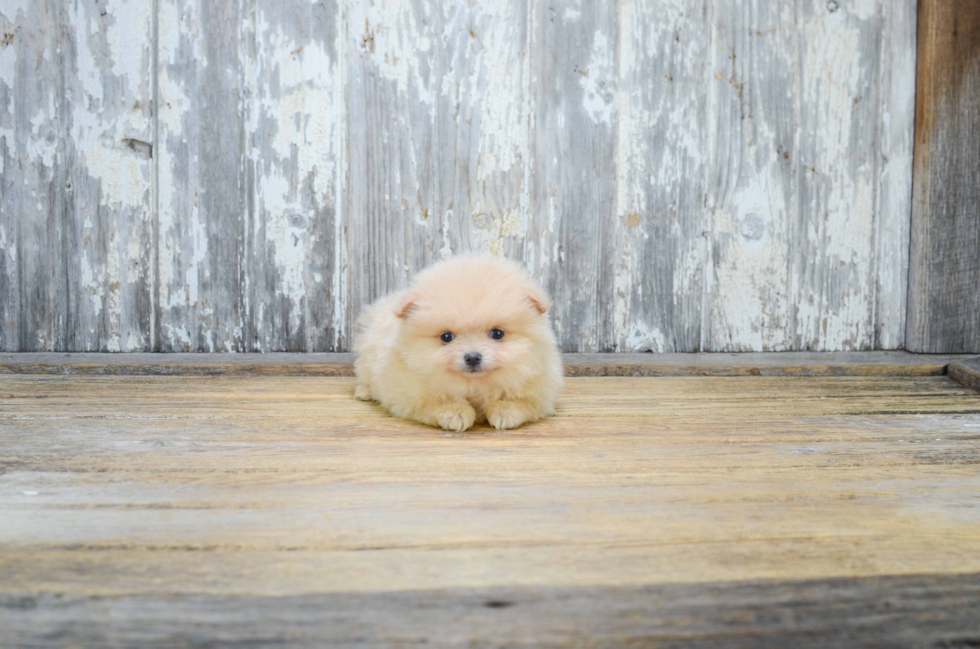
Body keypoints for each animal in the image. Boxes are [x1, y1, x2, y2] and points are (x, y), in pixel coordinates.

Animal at [356, 253, 564, 430]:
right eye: (446, 337)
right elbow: (437, 400)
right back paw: (364, 391)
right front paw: (456, 414)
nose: (472, 357)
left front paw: (505, 412)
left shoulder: (540, 387)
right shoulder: (409, 391)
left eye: (497, 333)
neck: (474, 386)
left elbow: (521, 400)